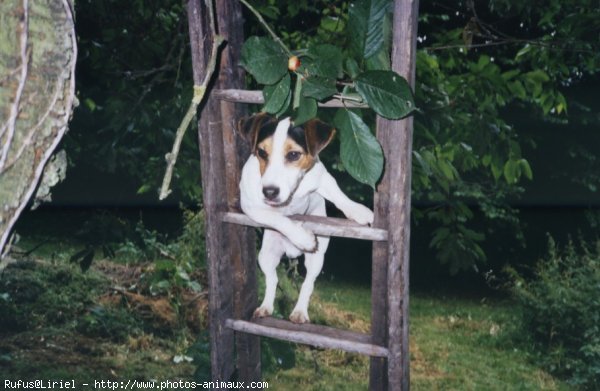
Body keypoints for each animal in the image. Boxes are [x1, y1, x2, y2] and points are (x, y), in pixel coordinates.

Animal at [238, 113, 370, 324]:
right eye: (261, 152)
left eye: (293, 155)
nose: (269, 192)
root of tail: (292, 252)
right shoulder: (249, 205)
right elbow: (277, 218)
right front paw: (303, 237)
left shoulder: (322, 178)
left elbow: (339, 196)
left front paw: (357, 210)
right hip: (265, 256)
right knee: (272, 279)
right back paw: (266, 307)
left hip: (316, 259)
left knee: (308, 283)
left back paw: (299, 311)